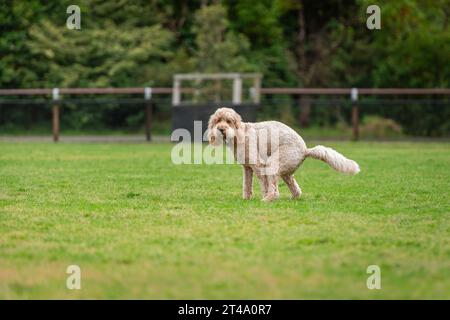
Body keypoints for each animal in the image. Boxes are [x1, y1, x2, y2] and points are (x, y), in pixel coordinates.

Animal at [208, 107, 362, 202]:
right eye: (217, 120)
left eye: (229, 121)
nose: (221, 129)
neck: (239, 134)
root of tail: (305, 150)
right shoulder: (247, 168)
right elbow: (247, 185)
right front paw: (246, 199)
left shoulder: (258, 165)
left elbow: (263, 184)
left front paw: (261, 195)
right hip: (286, 173)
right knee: (296, 190)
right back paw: (292, 199)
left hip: (273, 164)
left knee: (275, 191)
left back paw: (267, 199)